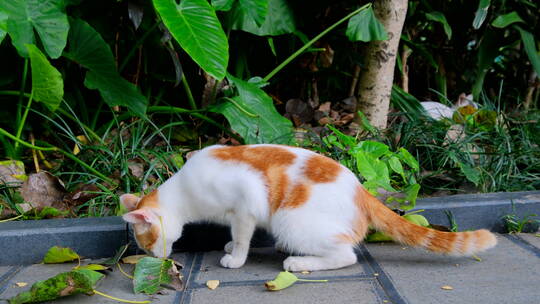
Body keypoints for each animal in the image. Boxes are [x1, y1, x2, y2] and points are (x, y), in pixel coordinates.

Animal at [121, 144, 498, 270]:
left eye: (146, 240)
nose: (154, 257)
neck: (185, 191)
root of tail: (362, 191)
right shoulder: (238, 213)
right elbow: (235, 233)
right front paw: (228, 245)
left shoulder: (246, 201)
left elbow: (243, 236)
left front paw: (235, 258)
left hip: (290, 221)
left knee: (346, 256)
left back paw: (299, 263)